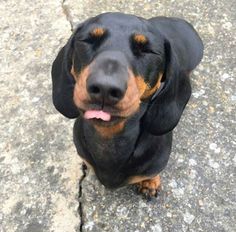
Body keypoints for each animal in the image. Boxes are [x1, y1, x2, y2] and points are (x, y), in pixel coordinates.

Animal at [51, 12, 203, 198]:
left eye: (148, 50)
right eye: (87, 40)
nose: (105, 88)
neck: (110, 138)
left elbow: (153, 173)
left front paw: (150, 182)